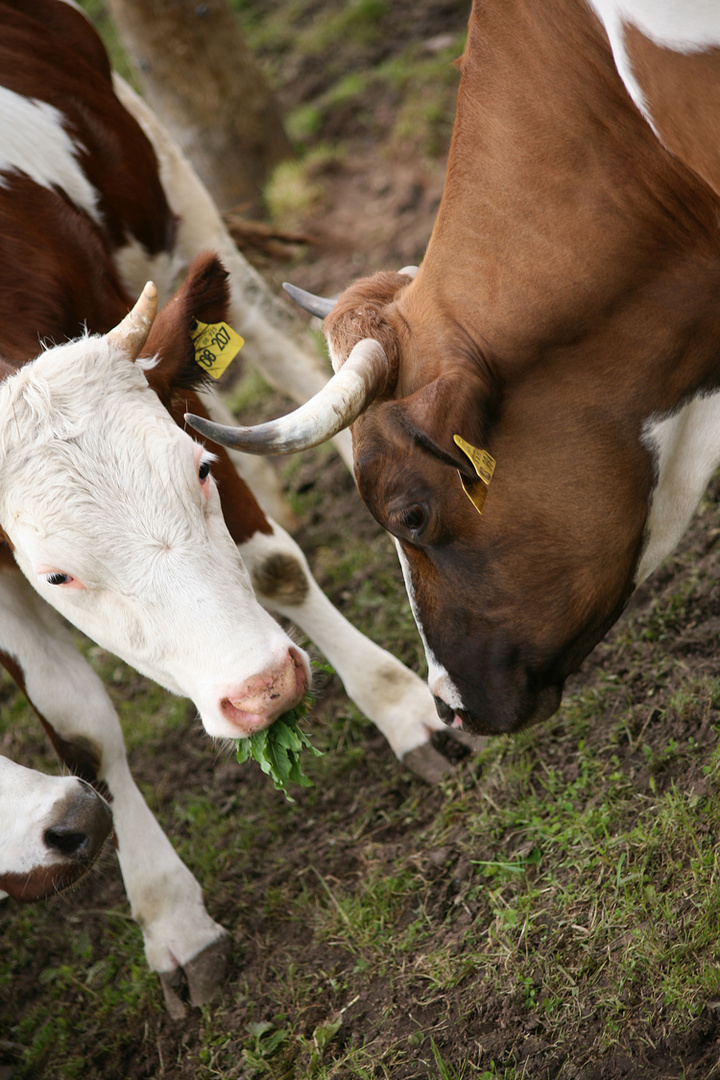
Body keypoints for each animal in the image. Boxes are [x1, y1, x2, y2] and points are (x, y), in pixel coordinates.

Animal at [0, 0, 459, 1010]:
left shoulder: (175, 399)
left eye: (201, 475)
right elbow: (81, 730)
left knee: (262, 319)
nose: (265, 691)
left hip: (173, 190)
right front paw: (171, 916)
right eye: (56, 575)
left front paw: (407, 711)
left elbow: (278, 566)